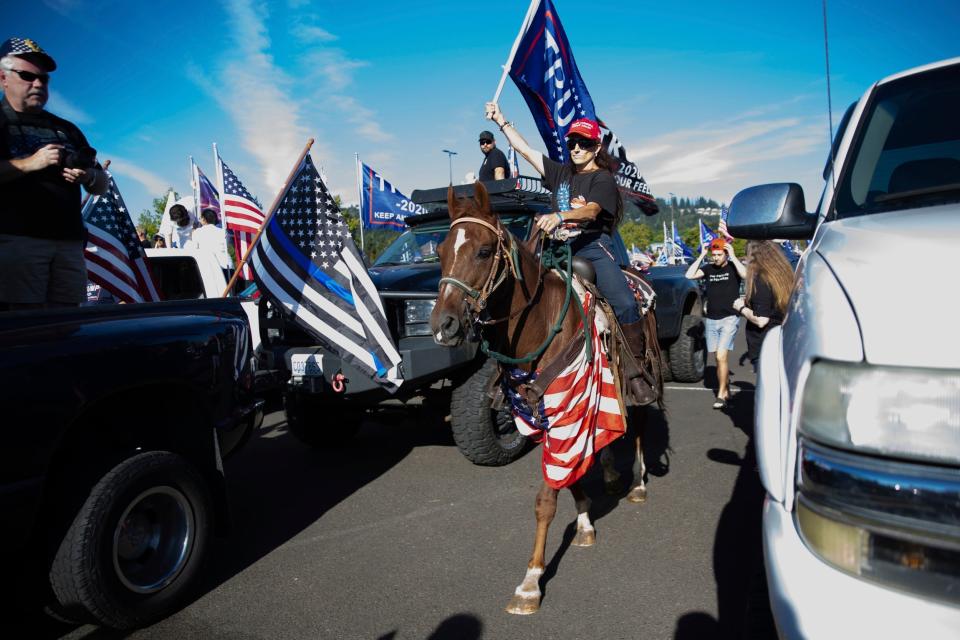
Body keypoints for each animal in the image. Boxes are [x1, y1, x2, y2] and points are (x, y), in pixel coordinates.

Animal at [432, 181, 664, 616]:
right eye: (439, 252)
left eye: (484, 251)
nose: (443, 326)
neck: (539, 325)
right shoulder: (542, 415)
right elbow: (568, 475)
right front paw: (586, 521)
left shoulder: (566, 409)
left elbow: (546, 497)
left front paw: (530, 582)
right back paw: (610, 471)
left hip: (637, 375)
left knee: (640, 424)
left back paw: (638, 484)